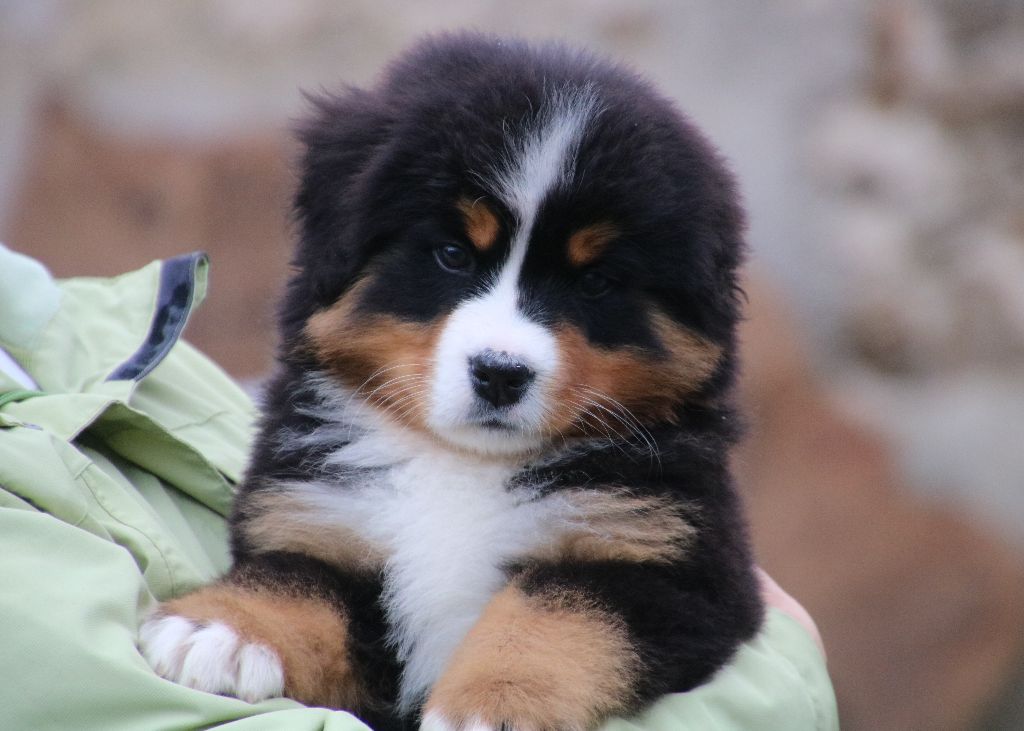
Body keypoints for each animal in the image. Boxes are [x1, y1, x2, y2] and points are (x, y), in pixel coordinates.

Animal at [146, 32, 770, 728]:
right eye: (452, 255)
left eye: (595, 281)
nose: (501, 373)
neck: (462, 466)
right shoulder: (318, 520)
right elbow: (294, 580)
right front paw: (221, 630)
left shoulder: (670, 565)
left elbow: (556, 607)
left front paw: (495, 700)